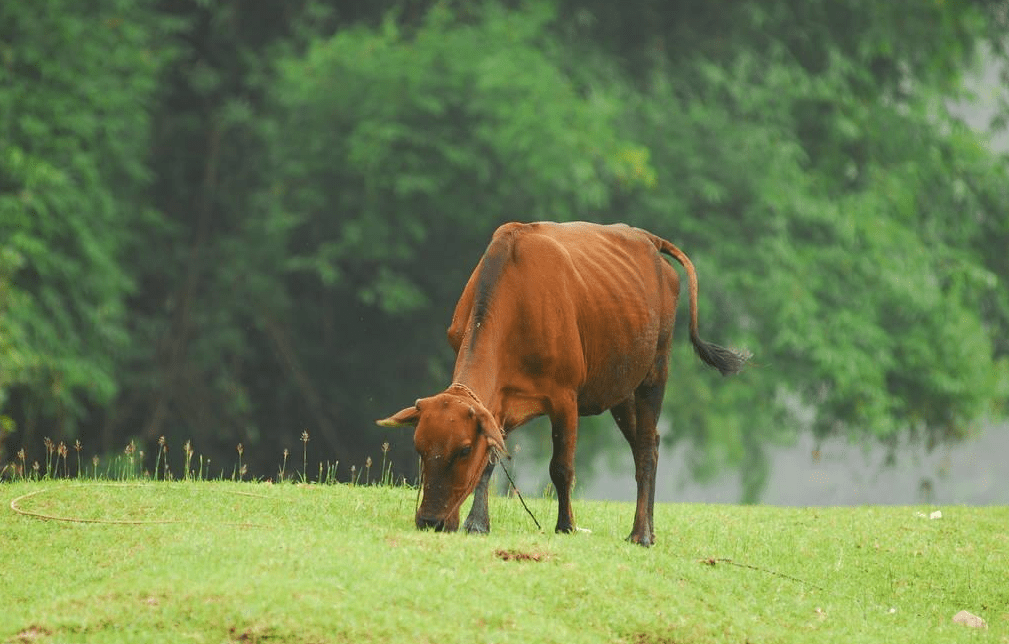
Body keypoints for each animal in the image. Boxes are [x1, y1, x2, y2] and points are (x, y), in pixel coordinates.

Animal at [379, 222, 750, 545]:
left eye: (463, 450)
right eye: (419, 448)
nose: (430, 521)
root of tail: (647, 238)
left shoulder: (565, 396)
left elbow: (561, 467)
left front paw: (566, 525)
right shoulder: (497, 401)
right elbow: (491, 459)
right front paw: (477, 523)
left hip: (656, 368)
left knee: (646, 446)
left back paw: (640, 534)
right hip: (621, 387)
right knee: (651, 443)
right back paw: (650, 529)